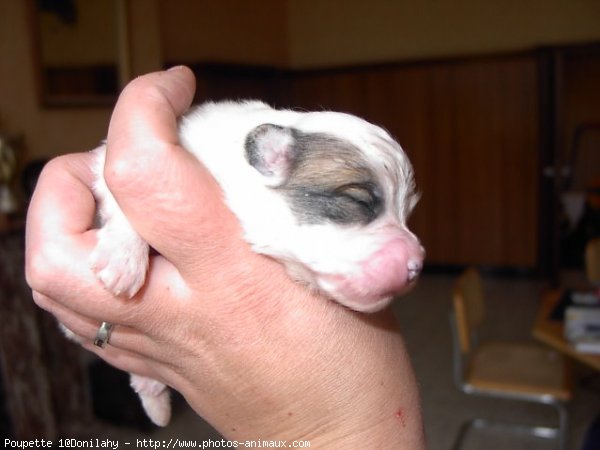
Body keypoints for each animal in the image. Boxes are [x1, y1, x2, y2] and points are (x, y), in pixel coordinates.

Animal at [85, 100, 422, 428]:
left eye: (407, 214)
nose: (417, 265)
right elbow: (121, 199)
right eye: (359, 201)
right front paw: (123, 259)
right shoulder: (111, 160)